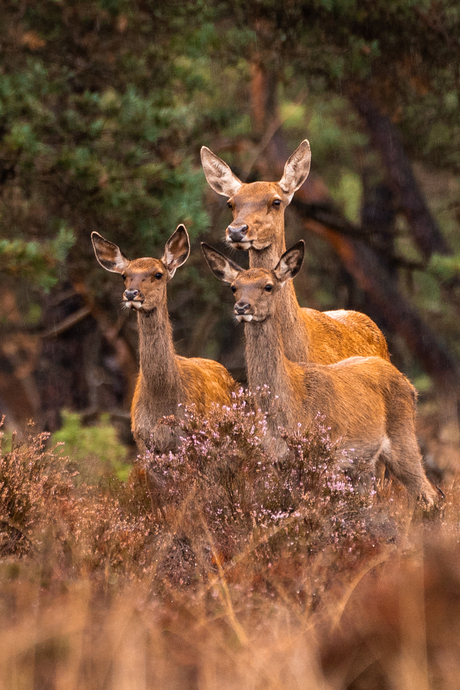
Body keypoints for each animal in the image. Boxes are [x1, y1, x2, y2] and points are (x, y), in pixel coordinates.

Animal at [203, 239, 436, 502]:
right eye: (234, 287)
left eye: (268, 286)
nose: (242, 307)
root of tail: (411, 386)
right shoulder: (278, 460)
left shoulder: (327, 453)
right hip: (364, 465)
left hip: (402, 438)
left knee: (429, 494)